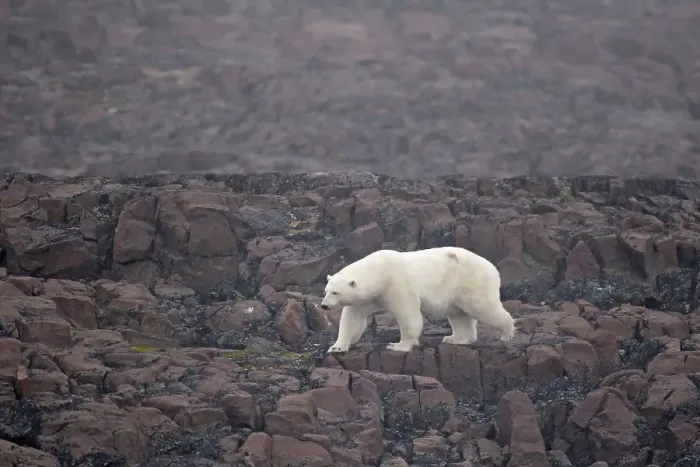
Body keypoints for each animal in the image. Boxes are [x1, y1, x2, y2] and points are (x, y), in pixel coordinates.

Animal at [320, 246, 515, 354]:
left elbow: (408, 314)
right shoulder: (369, 297)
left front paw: (398, 345)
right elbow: (353, 318)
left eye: (335, 293)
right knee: (459, 314)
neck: (380, 272)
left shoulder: (397, 285)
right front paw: (337, 347)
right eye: (326, 291)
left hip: (471, 282)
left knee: (483, 307)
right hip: (454, 292)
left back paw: (507, 333)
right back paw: (455, 338)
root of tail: (492, 267)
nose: (324, 306)